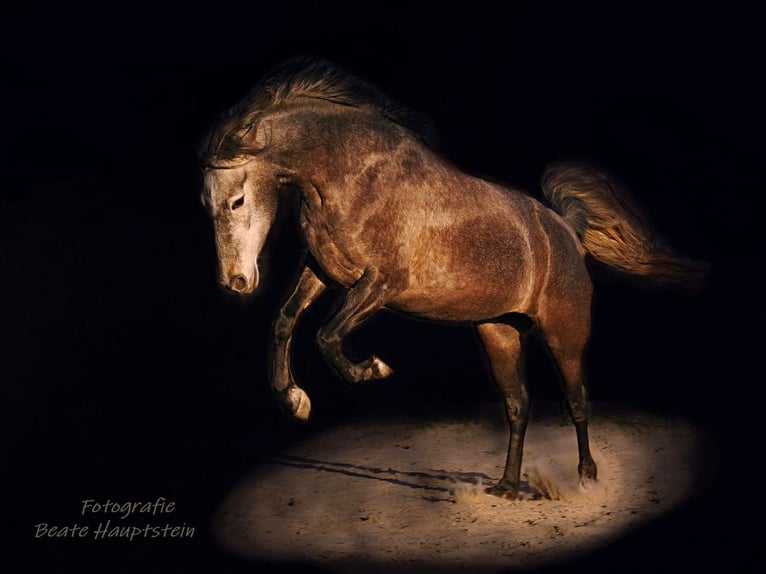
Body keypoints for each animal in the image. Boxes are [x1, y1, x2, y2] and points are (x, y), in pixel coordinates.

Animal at [199, 57, 707, 499]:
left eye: (237, 200)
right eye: (206, 202)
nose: (235, 282)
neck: (353, 176)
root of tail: (566, 232)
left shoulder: (381, 284)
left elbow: (326, 336)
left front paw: (373, 369)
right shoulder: (324, 271)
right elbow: (285, 321)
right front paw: (295, 401)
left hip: (564, 334)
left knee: (577, 400)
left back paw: (585, 478)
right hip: (499, 332)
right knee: (518, 405)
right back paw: (506, 487)